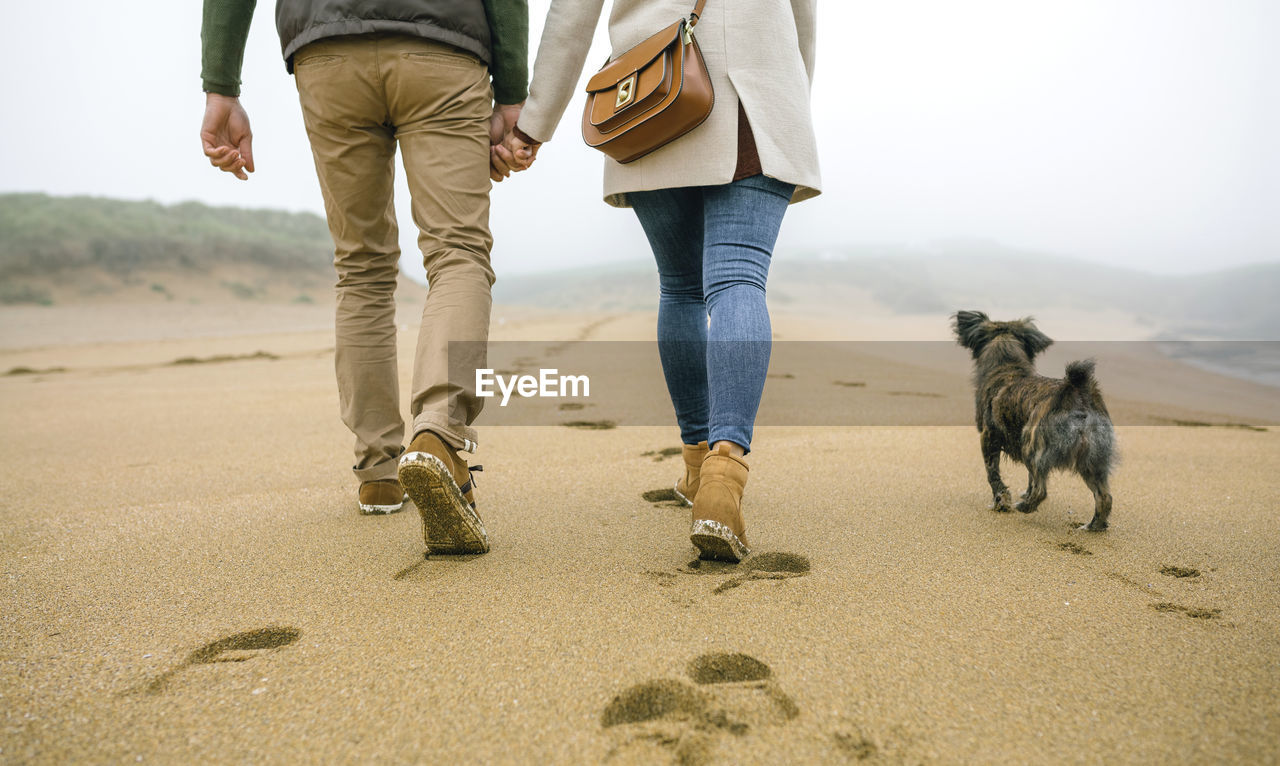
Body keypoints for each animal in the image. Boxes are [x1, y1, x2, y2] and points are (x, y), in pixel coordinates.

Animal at [957, 312, 1116, 535]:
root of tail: (1076, 392)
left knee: (1042, 490)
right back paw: (1093, 526)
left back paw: (1025, 507)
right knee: (1104, 498)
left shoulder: (988, 438)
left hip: (1031, 447)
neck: (1008, 367)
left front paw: (1001, 501)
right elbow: (1029, 479)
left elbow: (993, 474)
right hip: (1093, 462)